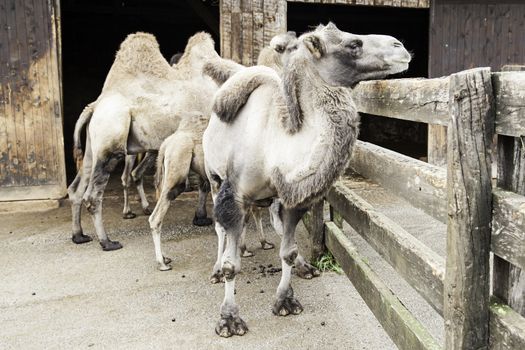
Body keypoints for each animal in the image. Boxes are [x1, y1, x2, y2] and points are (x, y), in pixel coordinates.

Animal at [67, 31, 219, 250]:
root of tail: (93, 107)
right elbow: (205, 182)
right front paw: (202, 217)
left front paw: (201, 218)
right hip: (111, 140)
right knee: (93, 195)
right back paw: (107, 242)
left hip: (91, 150)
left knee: (76, 189)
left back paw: (79, 235)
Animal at [203, 22, 412, 336]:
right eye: (353, 44)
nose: (401, 46)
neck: (276, 143)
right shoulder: (234, 194)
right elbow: (231, 265)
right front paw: (228, 318)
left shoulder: (294, 197)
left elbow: (288, 250)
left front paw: (286, 300)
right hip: (213, 177)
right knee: (219, 228)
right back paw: (217, 268)